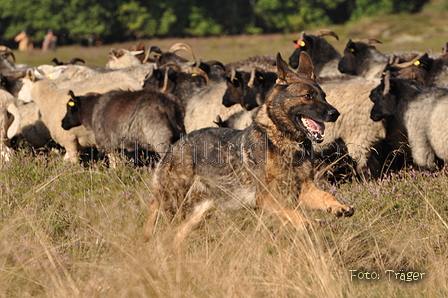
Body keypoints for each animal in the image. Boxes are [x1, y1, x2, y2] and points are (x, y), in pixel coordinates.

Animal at [144, 51, 354, 247]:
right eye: (307, 96)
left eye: (324, 96)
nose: (335, 113)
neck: (284, 143)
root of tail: (174, 146)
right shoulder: (267, 198)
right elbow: (288, 211)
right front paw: (305, 221)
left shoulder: (305, 190)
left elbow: (326, 195)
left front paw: (338, 207)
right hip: (174, 200)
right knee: (157, 209)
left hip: (200, 213)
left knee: (178, 233)